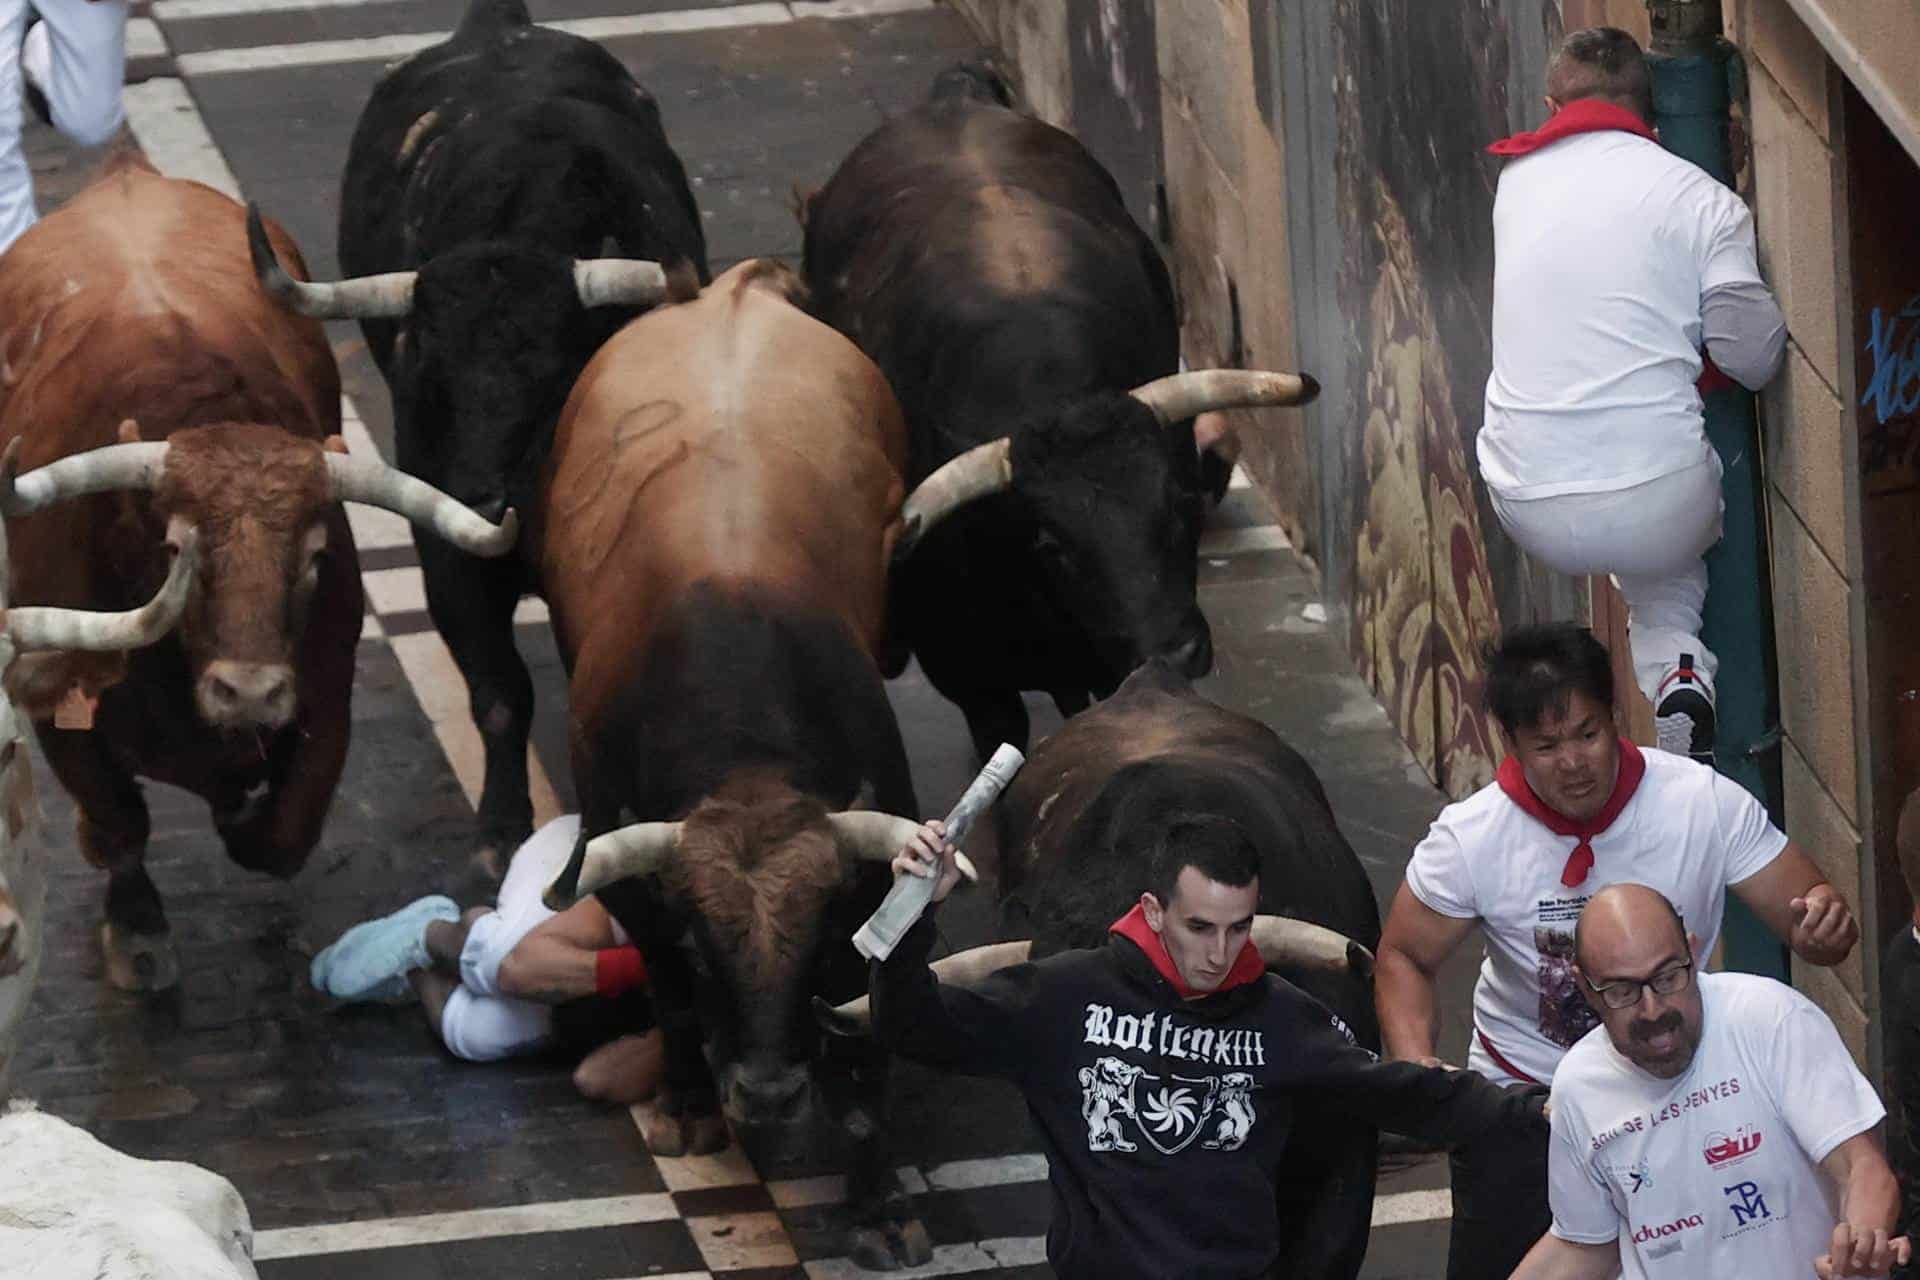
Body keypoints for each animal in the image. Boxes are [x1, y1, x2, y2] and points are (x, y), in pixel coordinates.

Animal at [0, 152, 518, 990]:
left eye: (313, 558)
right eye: (176, 549)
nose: (247, 691)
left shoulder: (326, 697)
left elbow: (280, 835)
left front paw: (240, 808)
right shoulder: (55, 709)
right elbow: (118, 819)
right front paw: (137, 929)